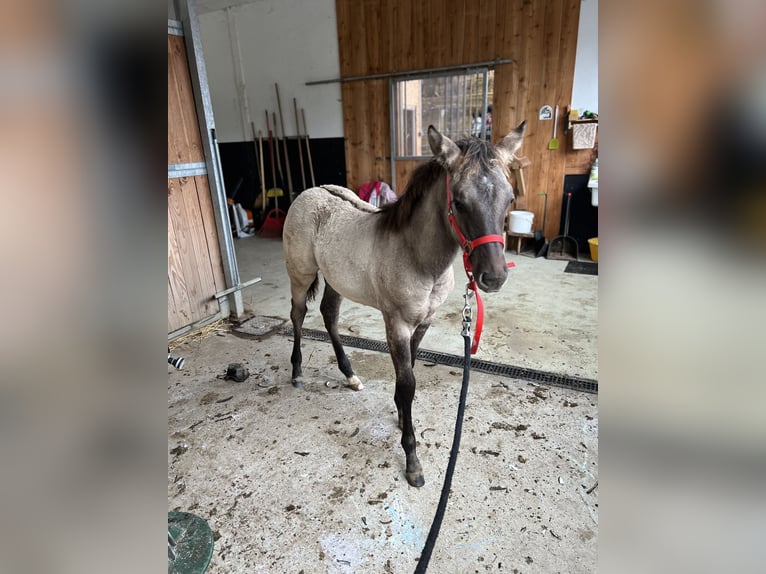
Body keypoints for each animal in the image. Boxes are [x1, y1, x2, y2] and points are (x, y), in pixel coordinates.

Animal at [282, 122, 526, 487]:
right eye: (460, 202)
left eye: (509, 198)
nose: (494, 277)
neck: (417, 257)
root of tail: (309, 192)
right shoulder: (395, 324)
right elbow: (407, 383)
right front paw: (412, 460)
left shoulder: (423, 322)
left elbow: (407, 372)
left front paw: (400, 416)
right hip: (301, 275)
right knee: (298, 315)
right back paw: (297, 372)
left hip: (336, 280)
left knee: (329, 316)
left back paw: (350, 375)